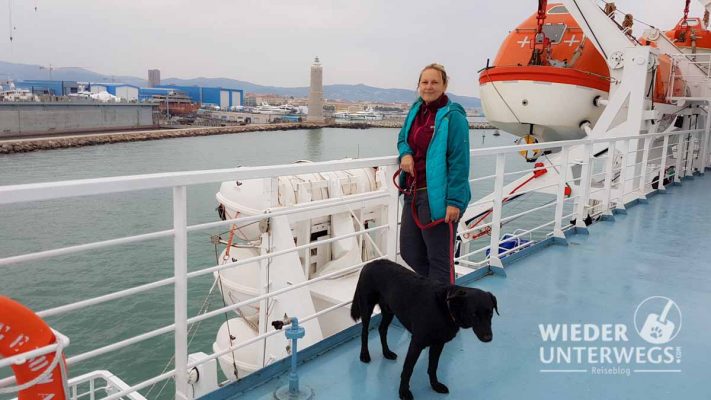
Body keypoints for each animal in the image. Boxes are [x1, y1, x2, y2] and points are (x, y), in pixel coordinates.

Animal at [352, 260, 500, 400]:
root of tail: (369, 264)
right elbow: (408, 369)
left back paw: (387, 352)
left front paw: (435, 386)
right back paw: (364, 355)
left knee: (382, 329)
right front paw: (403, 392)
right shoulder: (416, 343)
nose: (488, 338)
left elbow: (433, 367)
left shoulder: (438, 344)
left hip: (389, 310)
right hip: (367, 307)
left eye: (490, 313)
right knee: (364, 332)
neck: (445, 308)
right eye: (474, 314)